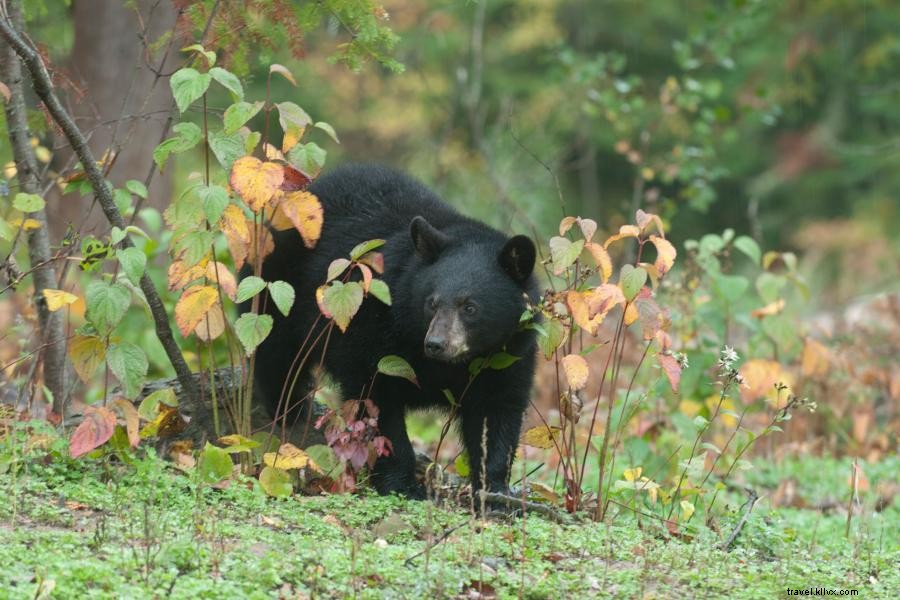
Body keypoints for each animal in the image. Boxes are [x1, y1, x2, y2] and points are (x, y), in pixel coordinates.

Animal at [251, 164, 538, 498]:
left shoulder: (510, 353)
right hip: (278, 288)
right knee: (277, 353)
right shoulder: (376, 325)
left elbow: (499, 410)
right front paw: (403, 484)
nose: (436, 344)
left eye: (470, 307)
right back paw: (289, 409)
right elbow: (377, 398)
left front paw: (495, 490)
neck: (451, 364)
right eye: (431, 302)